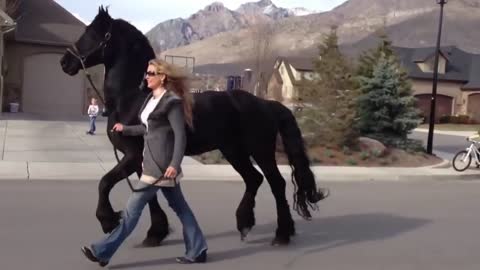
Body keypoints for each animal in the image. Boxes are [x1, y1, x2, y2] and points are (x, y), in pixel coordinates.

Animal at [60, 5, 326, 247]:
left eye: (92, 32)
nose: (65, 62)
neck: (132, 99)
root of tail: (266, 104)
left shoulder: (133, 155)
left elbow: (105, 183)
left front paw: (108, 220)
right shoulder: (140, 158)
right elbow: (147, 194)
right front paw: (155, 232)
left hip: (260, 151)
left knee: (276, 183)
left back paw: (282, 234)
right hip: (234, 151)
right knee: (254, 179)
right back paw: (245, 223)